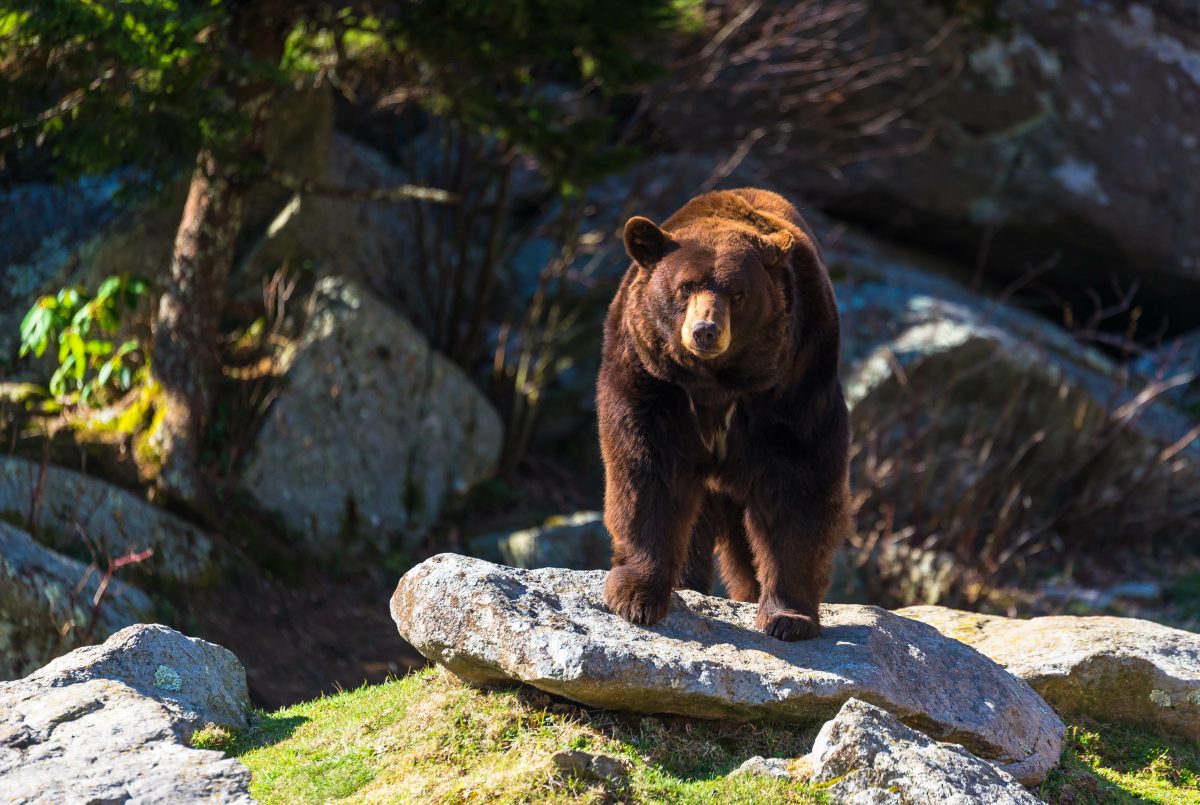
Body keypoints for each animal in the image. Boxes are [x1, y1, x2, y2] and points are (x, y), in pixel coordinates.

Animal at [595, 189, 849, 643]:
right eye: (685, 286)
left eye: (738, 293)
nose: (705, 331)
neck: (715, 384)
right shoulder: (650, 380)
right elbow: (647, 472)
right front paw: (636, 596)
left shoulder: (794, 384)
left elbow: (799, 486)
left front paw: (788, 617)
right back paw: (687, 583)